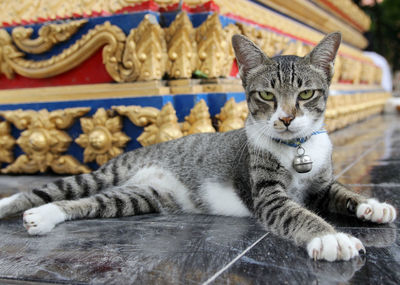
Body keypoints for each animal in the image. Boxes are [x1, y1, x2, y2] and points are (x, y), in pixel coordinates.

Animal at [0, 31, 396, 260]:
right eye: (267, 95)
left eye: (307, 94)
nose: (285, 118)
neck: (296, 146)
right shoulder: (267, 194)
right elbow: (297, 213)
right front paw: (330, 239)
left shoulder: (321, 183)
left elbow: (341, 191)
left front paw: (372, 206)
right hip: (107, 173)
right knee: (53, 190)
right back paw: (19, 206)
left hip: (140, 197)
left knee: (85, 203)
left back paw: (47, 216)